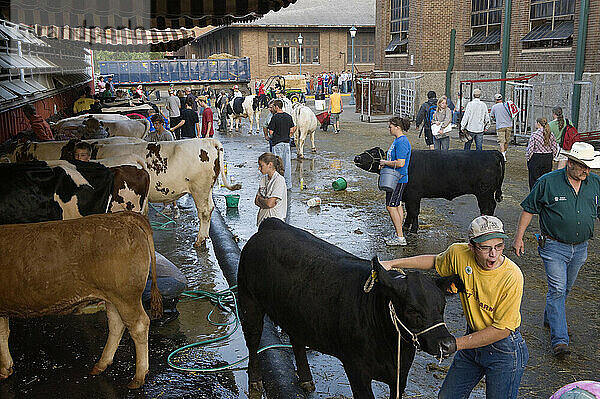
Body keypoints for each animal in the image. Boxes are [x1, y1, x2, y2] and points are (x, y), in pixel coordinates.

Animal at [0, 214, 163, 390]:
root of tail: (124, 216)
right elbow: (3, 333)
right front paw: (5, 368)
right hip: (112, 297)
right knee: (116, 324)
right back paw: (101, 364)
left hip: (125, 297)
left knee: (139, 325)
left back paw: (139, 376)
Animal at [237, 220, 462, 398]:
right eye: (413, 311)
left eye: (441, 306)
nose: (448, 345)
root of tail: (272, 225)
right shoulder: (357, 370)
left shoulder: (400, 376)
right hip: (249, 302)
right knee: (253, 341)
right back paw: (255, 381)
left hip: (296, 314)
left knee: (297, 340)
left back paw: (306, 379)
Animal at [354, 148, 504, 233]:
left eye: (374, 152)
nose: (357, 157)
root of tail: (493, 153)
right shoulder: (408, 196)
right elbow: (409, 212)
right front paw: (406, 226)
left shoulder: (414, 195)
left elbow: (414, 212)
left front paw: (413, 229)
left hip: (484, 193)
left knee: (487, 207)